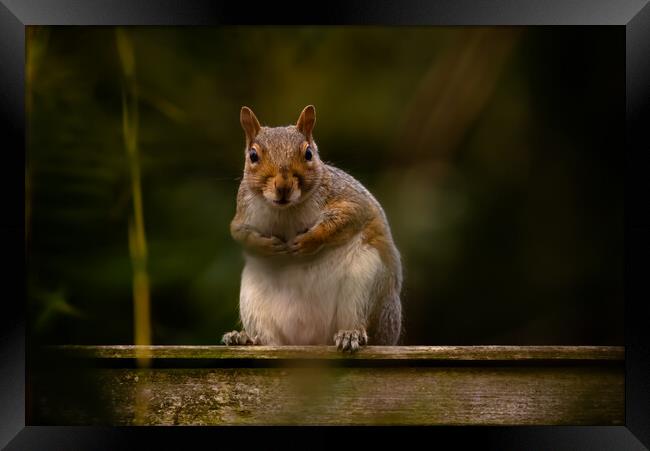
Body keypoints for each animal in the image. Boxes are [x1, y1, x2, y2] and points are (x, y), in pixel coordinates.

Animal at [221, 104, 400, 352]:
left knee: (360, 319)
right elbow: (239, 234)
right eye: (253, 156)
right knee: (269, 339)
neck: (286, 210)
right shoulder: (243, 214)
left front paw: (307, 241)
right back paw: (245, 338)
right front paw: (268, 246)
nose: (283, 186)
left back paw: (351, 334)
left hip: (367, 285)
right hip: (253, 301)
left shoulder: (349, 200)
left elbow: (347, 217)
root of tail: (310, 340)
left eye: (308, 154)